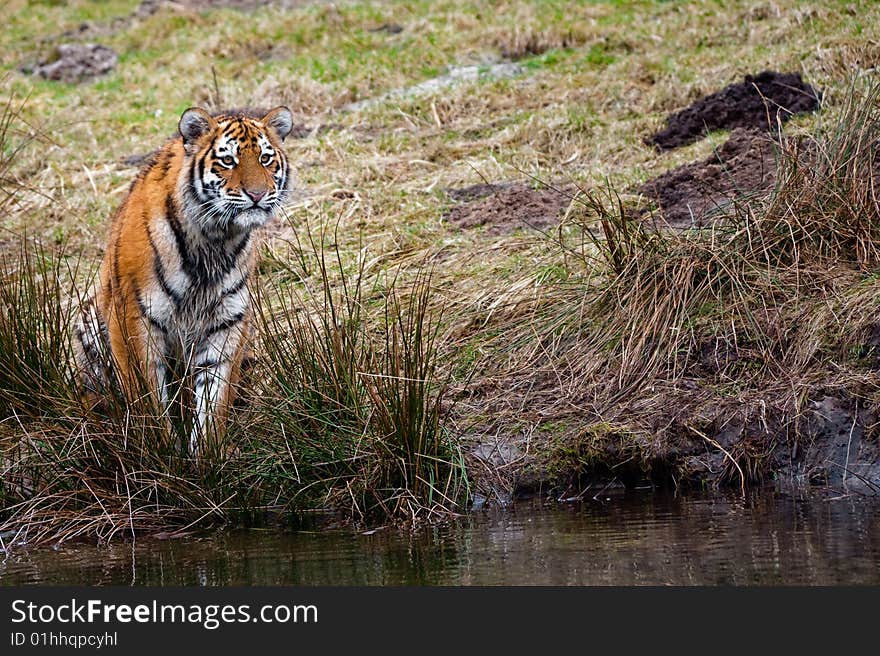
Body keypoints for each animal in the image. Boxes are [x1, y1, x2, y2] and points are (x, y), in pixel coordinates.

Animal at [74, 106, 294, 456]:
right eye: (228, 160)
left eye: (265, 158)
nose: (258, 195)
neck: (215, 240)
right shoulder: (133, 318)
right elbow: (148, 399)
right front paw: (163, 456)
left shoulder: (228, 321)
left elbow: (214, 397)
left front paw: (206, 457)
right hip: (89, 322)